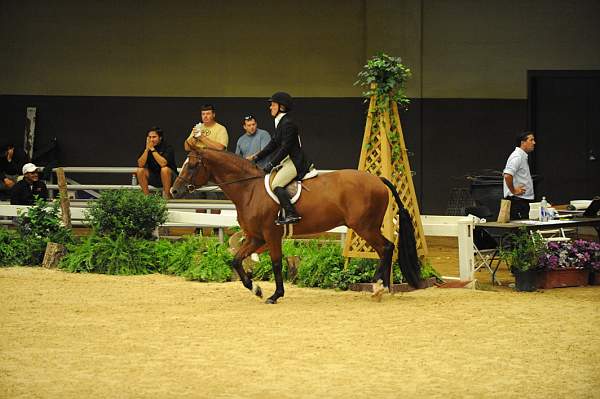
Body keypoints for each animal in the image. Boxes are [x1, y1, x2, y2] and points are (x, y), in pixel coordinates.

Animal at [170, 149, 422, 304]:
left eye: (192, 166)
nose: (173, 190)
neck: (249, 190)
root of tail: (377, 179)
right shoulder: (256, 238)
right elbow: (236, 260)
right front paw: (256, 289)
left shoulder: (270, 235)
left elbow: (275, 263)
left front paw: (275, 295)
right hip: (366, 227)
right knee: (386, 249)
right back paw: (383, 288)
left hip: (364, 227)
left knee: (386, 248)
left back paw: (378, 286)